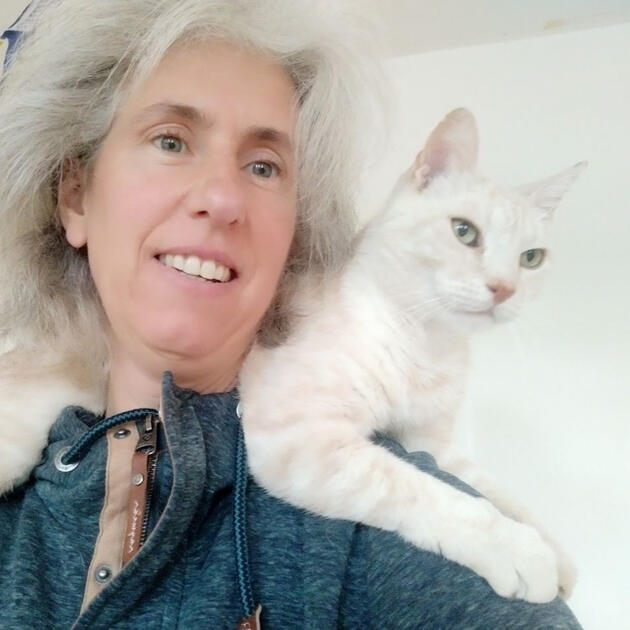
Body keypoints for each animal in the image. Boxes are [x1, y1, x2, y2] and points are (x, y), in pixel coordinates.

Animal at [238, 108, 586, 603]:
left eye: (532, 258)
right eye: (464, 232)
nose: (504, 288)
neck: (426, 344)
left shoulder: (431, 443)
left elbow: (494, 489)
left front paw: (555, 552)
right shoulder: (298, 435)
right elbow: (423, 489)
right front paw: (516, 548)